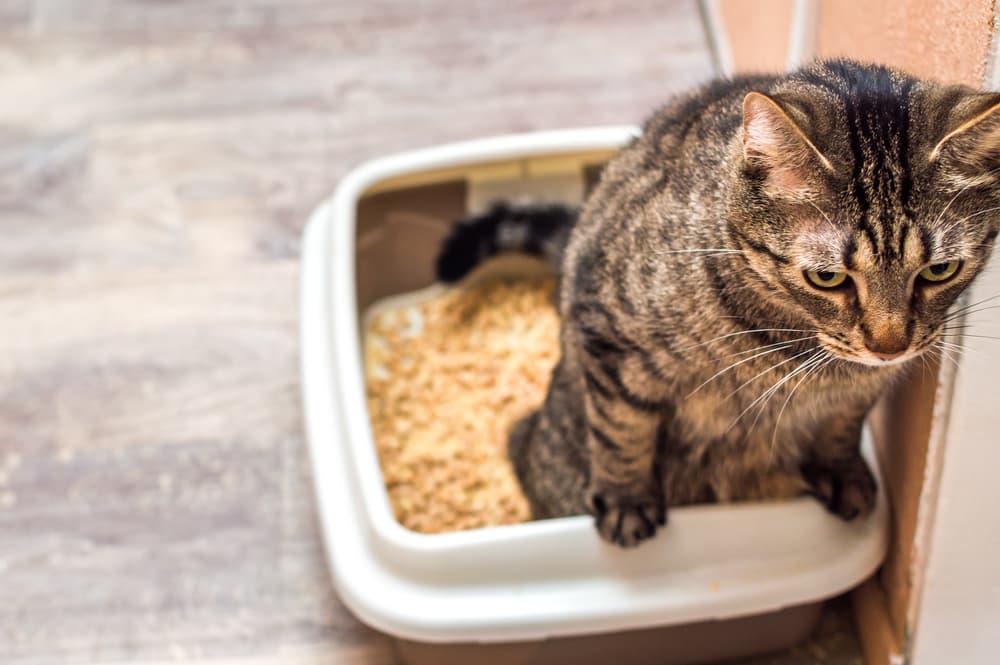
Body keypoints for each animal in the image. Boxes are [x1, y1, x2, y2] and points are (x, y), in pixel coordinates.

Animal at [436, 58, 1000, 544]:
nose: (890, 347)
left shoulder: (862, 391)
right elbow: (621, 432)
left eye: (939, 270)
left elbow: (841, 427)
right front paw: (626, 502)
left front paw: (841, 472)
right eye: (827, 277)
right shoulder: (611, 333)